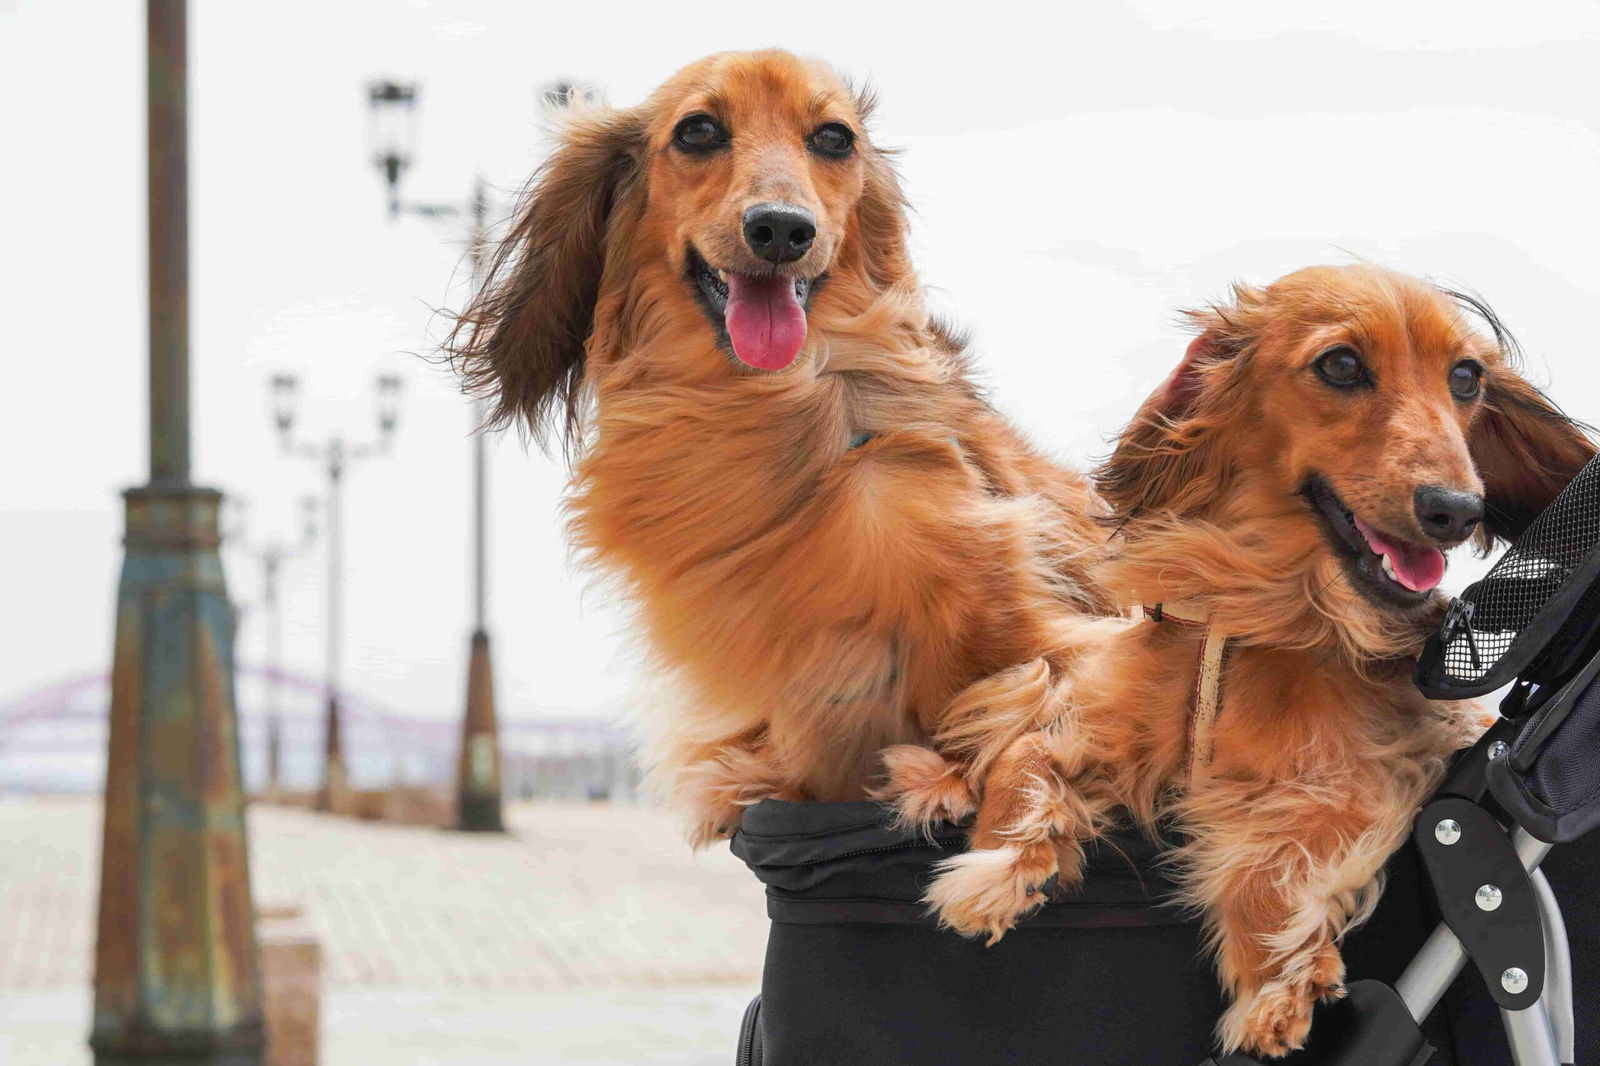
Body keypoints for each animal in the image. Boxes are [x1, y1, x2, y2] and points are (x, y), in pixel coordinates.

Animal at [448, 52, 1113, 845]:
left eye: (833, 138)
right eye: (698, 130)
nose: (780, 230)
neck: (759, 408)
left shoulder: (1043, 628)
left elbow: (1031, 721)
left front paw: (979, 814)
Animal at [883, 265, 1593, 1056]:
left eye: (1465, 378)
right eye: (1341, 365)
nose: (1457, 510)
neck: (1264, 613)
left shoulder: (1380, 772)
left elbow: (1273, 858)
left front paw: (1274, 980)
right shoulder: (1101, 709)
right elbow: (1024, 749)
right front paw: (1002, 864)